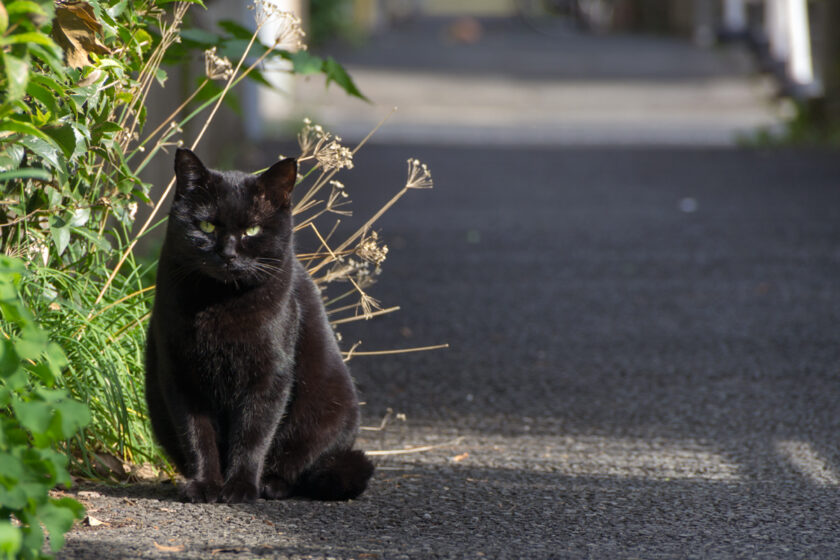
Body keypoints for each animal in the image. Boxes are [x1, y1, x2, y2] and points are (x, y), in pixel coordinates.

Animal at [144, 149, 374, 504]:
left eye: (252, 230)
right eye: (206, 225)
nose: (228, 253)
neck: (221, 301)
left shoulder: (269, 375)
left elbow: (253, 435)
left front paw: (240, 488)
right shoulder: (181, 374)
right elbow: (197, 436)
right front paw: (205, 485)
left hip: (330, 414)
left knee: (300, 466)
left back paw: (271, 484)